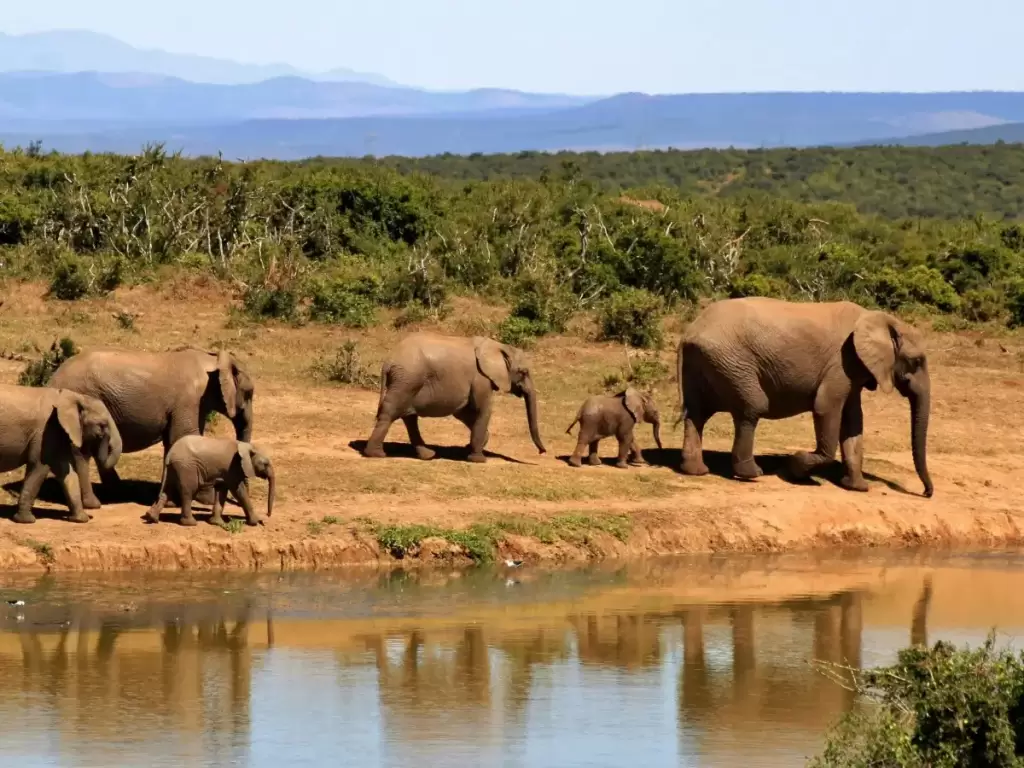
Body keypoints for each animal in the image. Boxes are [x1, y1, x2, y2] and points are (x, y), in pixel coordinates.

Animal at [0, 387, 122, 528]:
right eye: (102, 425)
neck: (73, 396)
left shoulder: (56, 432)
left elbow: (66, 472)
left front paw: (81, 519)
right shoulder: (45, 431)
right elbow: (39, 467)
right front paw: (26, 521)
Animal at [49, 348, 253, 505]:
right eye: (249, 393)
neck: (212, 359)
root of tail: (53, 378)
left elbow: (173, 442)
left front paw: (172, 501)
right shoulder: (189, 400)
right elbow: (184, 436)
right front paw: (205, 500)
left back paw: (118, 492)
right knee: (81, 451)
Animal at [144, 436, 274, 528]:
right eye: (266, 464)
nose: (267, 516)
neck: (246, 446)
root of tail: (170, 454)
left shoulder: (225, 472)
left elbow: (221, 490)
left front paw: (217, 523)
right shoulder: (233, 468)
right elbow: (238, 491)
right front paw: (255, 522)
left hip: (174, 468)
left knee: (167, 491)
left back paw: (152, 518)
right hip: (186, 467)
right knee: (188, 491)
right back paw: (191, 524)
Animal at [364, 331, 548, 462]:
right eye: (523, 372)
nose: (543, 451)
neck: (498, 346)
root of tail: (388, 362)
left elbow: (463, 411)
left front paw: (473, 446)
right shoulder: (480, 378)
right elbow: (482, 409)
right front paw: (478, 459)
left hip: (407, 381)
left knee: (409, 417)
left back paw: (428, 455)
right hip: (407, 380)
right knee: (391, 413)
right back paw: (376, 454)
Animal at [675, 294, 933, 499]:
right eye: (916, 361)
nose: (926, 493)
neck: (880, 319)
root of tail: (688, 333)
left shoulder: (853, 370)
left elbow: (853, 422)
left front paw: (857, 487)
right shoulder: (842, 363)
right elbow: (825, 407)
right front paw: (795, 468)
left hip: (706, 363)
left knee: (697, 413)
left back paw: (696, 470)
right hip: (731, 362)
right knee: (752, 407)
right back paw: (751, 474)